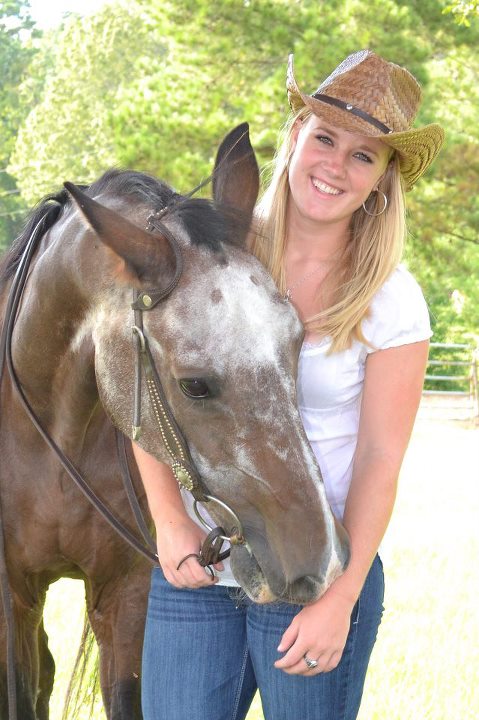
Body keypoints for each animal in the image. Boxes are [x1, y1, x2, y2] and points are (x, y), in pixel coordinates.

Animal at [0, 125, 348, 720]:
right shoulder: (12, 598)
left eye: (297, 341)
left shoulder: (128, 596)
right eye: (194, 385)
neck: (49, 440)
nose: (318, 564)